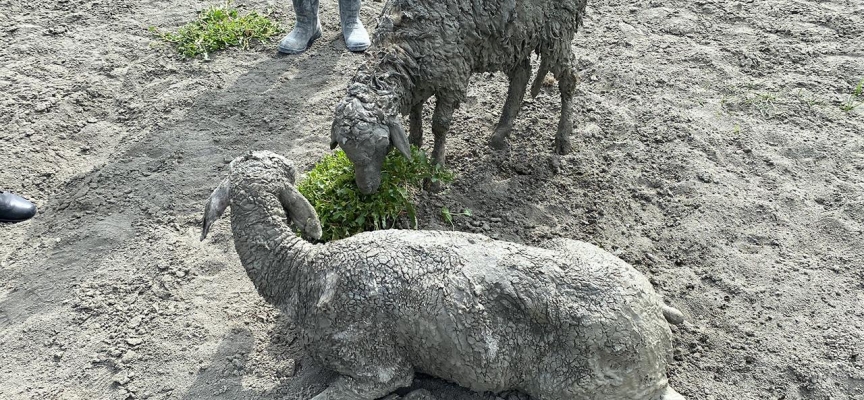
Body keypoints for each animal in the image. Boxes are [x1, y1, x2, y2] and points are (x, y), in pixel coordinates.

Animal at [330, 0, 588, 195]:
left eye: (383, 146)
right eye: (346, 151)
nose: (366, 190)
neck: (401, 44)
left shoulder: (451, 78)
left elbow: (439, 126)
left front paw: (434, 176)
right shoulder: (420, 79)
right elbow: (415, 111)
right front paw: (414, 144)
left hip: (557, 29)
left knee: (569, 78)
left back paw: (563, 138)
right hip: (515, 33)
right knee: (521, 74)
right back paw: (500, 133)